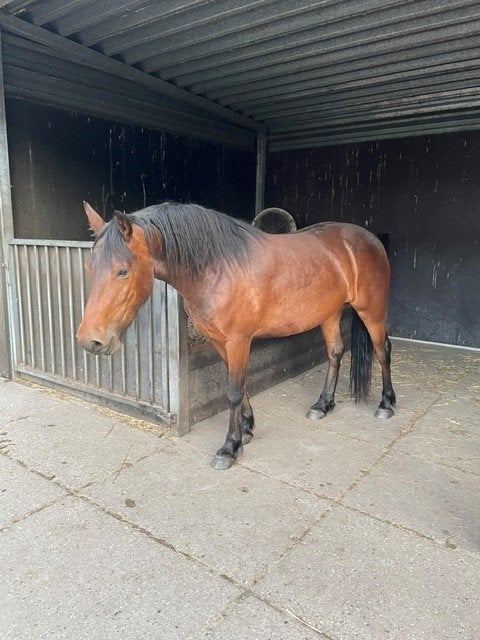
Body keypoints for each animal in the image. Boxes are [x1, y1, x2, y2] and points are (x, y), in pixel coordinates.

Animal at [77, 201, 395, 470]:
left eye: (122, 271)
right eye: (89, 267)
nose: (89, 341)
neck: (217, 268)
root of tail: (370, 239)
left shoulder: (238, 340)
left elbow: (232, 391)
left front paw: (230, 448)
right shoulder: (221, 342)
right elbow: (238, 386)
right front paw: (247, 428)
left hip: (371, 312)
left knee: (383, 351)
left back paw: (386, 404)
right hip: (329, 314)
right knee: (335, 352)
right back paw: (323, 405)